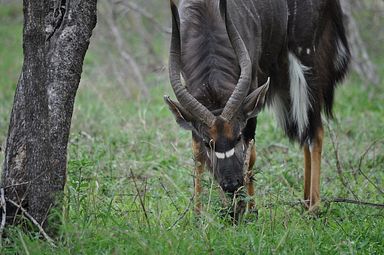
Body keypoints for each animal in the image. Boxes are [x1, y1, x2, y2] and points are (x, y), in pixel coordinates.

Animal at [164, 0, 350, 213]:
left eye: (236, 137)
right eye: (208, 143)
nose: (231, 183)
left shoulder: (252, 93)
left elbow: (250, 153)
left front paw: (251, 210)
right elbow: (198, 156)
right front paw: (199, 213)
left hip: (306, 58)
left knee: (315, 131)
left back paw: (314, 208)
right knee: (305, 131)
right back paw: (305, 201)